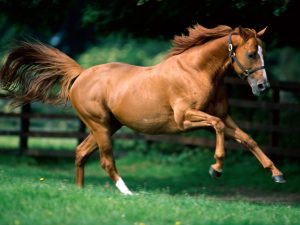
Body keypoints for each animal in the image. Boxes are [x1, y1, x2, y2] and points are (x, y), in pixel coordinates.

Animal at [0, 24, 286, 193]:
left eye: (262, 52)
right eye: (251, 54)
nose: (263, 86)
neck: (197, 71)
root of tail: (81, 74)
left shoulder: (224, 116)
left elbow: (248, 139)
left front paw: (277, 174)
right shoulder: (186, 119)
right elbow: (216, 129)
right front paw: (216, 169)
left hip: (109, 126)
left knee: (81, 152)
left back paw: (80, 191)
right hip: (100, 125)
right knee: (106, 160)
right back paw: (127, 193)